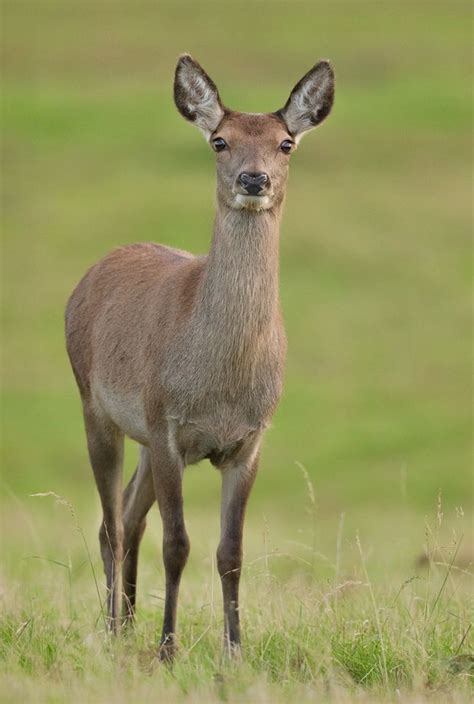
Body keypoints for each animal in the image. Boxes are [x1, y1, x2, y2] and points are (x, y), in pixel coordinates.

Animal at [65, 55, 336, 660]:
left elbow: (230, 553)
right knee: (112, 524)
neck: (220, 386)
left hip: (141, 435)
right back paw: (115, 628)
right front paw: (168, 649)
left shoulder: (249, 441)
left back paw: (126, 623)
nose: (253, 179)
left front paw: (234, 652)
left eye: (285, 143)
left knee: (129, 515)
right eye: (220, 141)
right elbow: (178, 544)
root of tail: (88, 275)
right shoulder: (169, 426)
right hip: (97, 407)